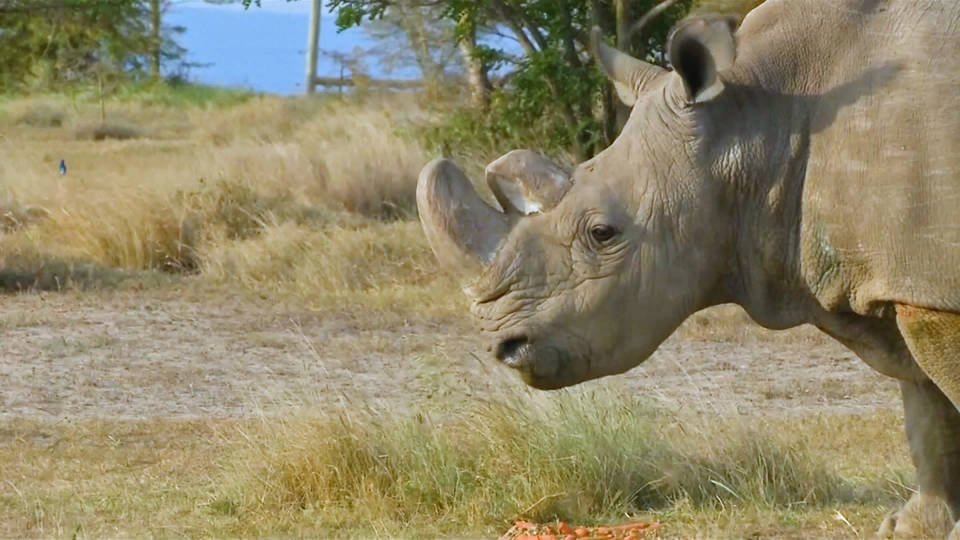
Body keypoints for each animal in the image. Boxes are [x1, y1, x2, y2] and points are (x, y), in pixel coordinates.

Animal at [417, 1, 960, 537]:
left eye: (602, 234)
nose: (504, 346)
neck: (760, 119)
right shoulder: (905, 277)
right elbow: (925, 407)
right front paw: (914, 527)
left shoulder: (928, 286)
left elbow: (941, 392)